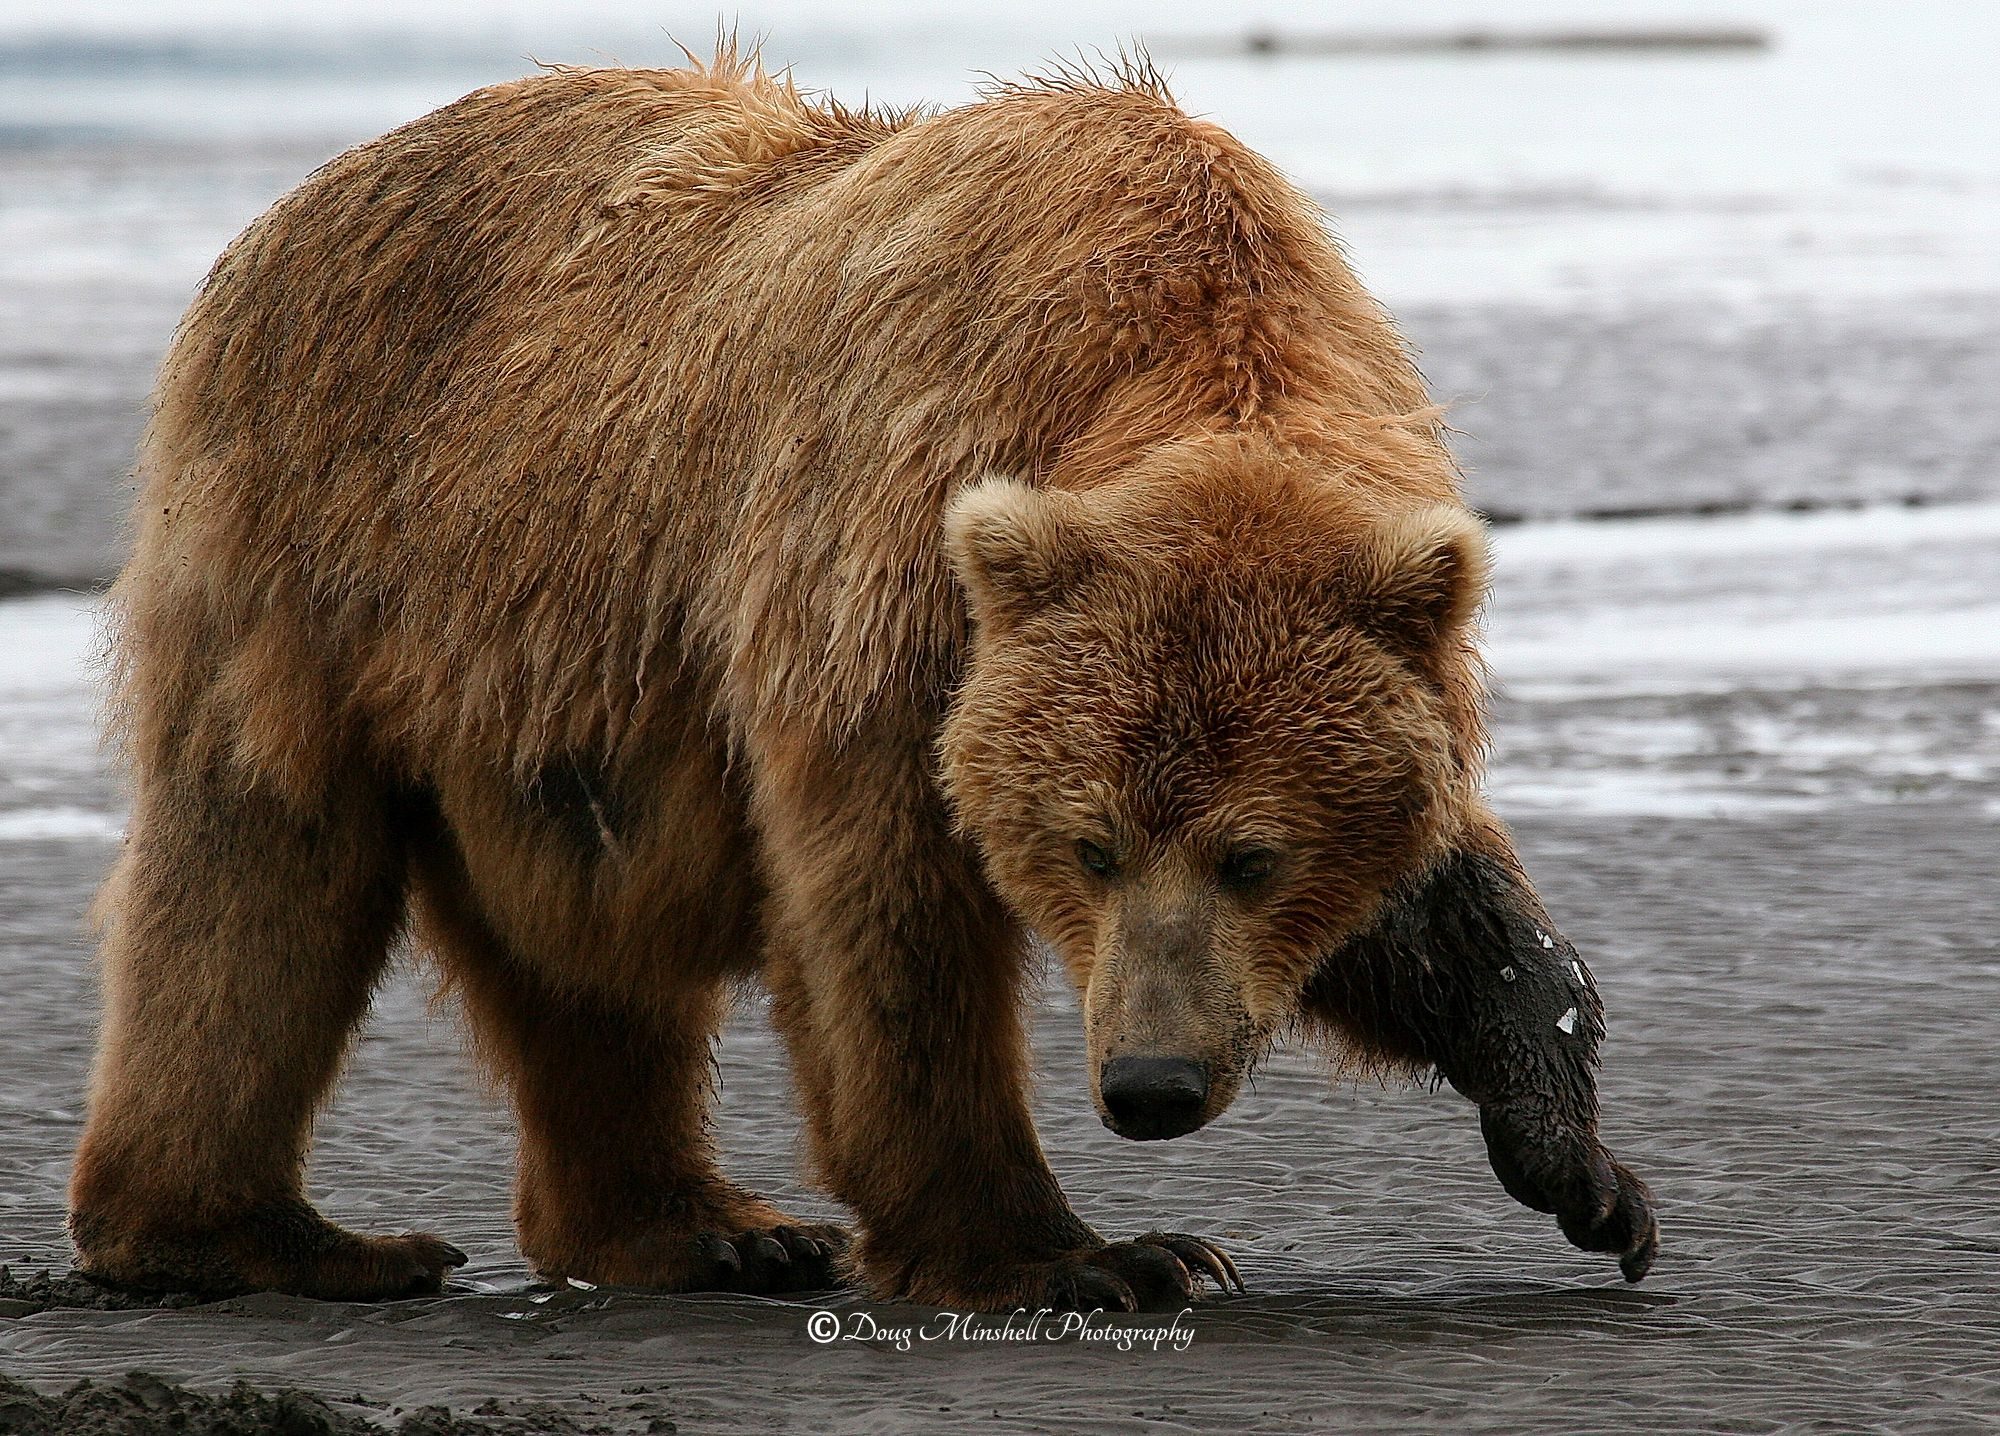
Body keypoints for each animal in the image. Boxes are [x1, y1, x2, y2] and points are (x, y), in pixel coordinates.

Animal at [69, 50, 1656, 1311]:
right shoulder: (882, 576)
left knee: (577, 964)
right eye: (1088, 844)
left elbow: (1448, 904)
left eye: (1256, 854)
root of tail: (290, 202)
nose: (1149, 1085)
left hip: (533, 705)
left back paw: (703, 1229)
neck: (1161, 337)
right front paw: (1089, 1254)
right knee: (256, 877)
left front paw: (1580, 1161)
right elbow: (886, 921)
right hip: (323, 550)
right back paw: (266, 1236)